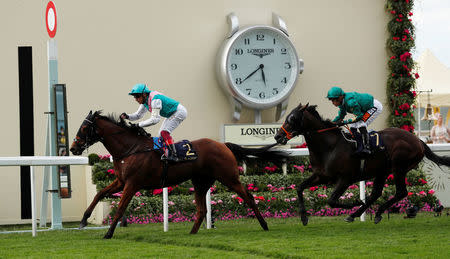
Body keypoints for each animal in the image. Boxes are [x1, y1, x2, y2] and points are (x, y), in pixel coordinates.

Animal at [71, 111, 288, 240]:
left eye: (84, 128)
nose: (73, 148)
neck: (130, 150)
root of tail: (223, 144)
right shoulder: (121, 181)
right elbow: (99, 194)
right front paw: (83, 220)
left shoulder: (132, 184)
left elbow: (120, 208)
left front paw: (108, 233)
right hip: (201, 182)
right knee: (202, 210)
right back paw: (191, 233)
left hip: (229, 177)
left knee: (249, 197)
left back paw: (264, 225)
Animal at [274, 103, 450, 225]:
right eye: (287, 116)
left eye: (292, 118)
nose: (278, 136)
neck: (330, 146)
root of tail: (419, 141)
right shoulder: (322, 176)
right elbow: (299, 187)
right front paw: (304, 217)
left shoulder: (345, 179)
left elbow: (331, 200)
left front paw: (357, 201)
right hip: (382, 171)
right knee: (376, 193)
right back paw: (361, 214)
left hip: (399, 168)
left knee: (401, 192)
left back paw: (371, 212)